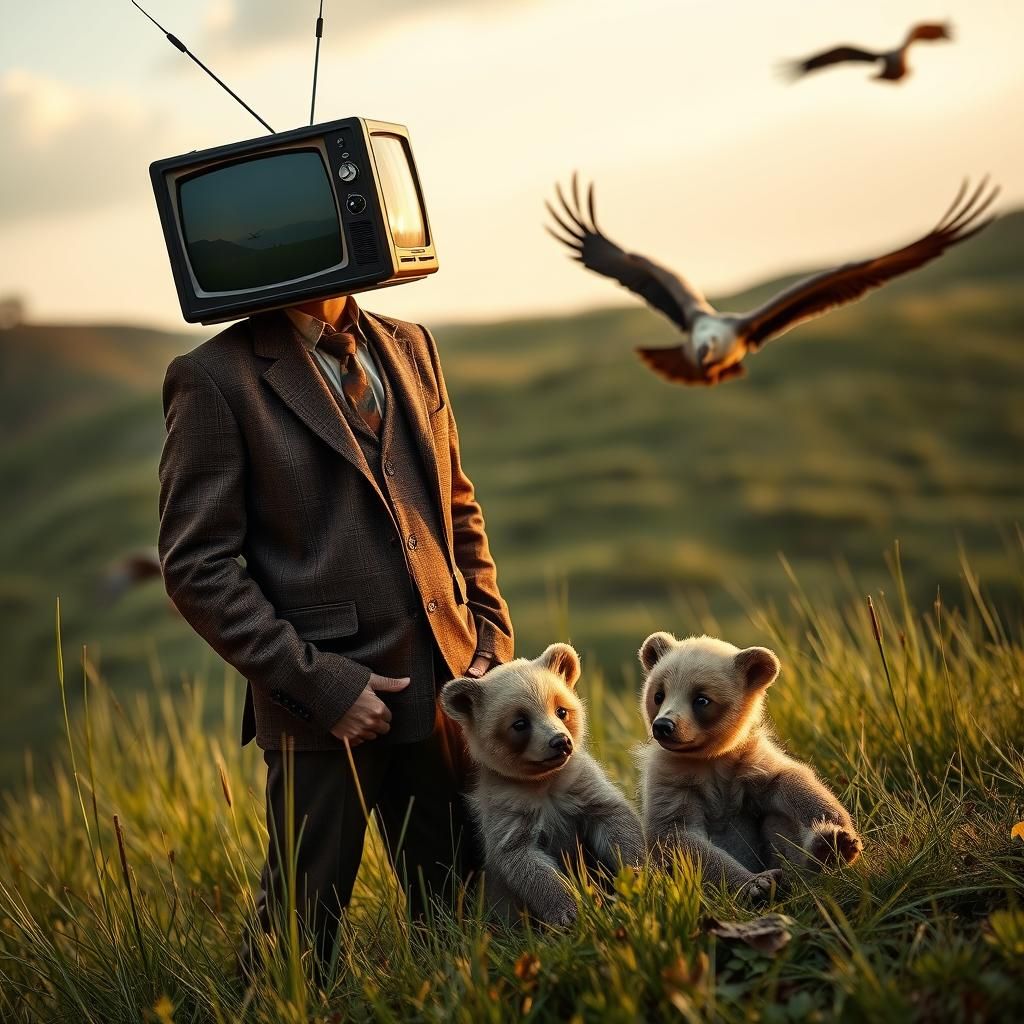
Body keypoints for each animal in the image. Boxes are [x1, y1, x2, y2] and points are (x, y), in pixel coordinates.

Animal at [440, 642, 644, 926]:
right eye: (520, 723)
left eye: (561, 710)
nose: (560, 742)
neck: (544, 782)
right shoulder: (507, 806)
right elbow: (524, 861)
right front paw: (570, 910)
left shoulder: (581, 784)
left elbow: (616, 821)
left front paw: (638, 873)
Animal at [636, 632, 862, 900]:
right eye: (658, 694)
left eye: (701, 699)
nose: (664, 725)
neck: (709, 758)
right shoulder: (671, 777)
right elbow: (680, 836)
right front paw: (756, 883)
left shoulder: (749, 761)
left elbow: (792, 782)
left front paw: (839, 837)